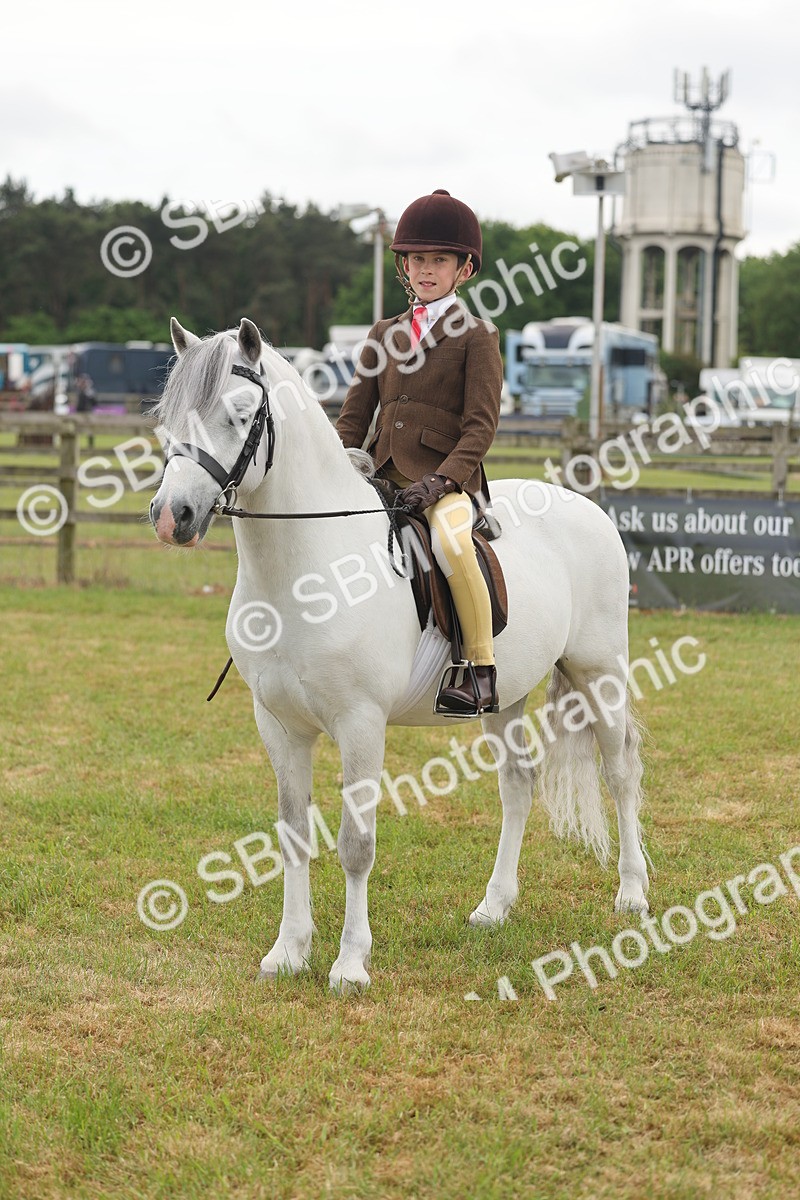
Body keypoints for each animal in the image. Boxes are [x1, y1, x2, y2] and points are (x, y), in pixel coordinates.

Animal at [149, 317, 650, 991]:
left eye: (239, 414)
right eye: (168, 416)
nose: (171, 516)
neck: (306, 570)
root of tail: (585, 505)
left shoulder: (361, 725)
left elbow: (355, 844)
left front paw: (350, 964)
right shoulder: (279, 726)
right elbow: (292, 835)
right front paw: (288, 952)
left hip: (600, 672)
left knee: (620, 771)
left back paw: (632, 895)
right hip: (505, 694)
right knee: (518, 784)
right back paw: (494, 906)